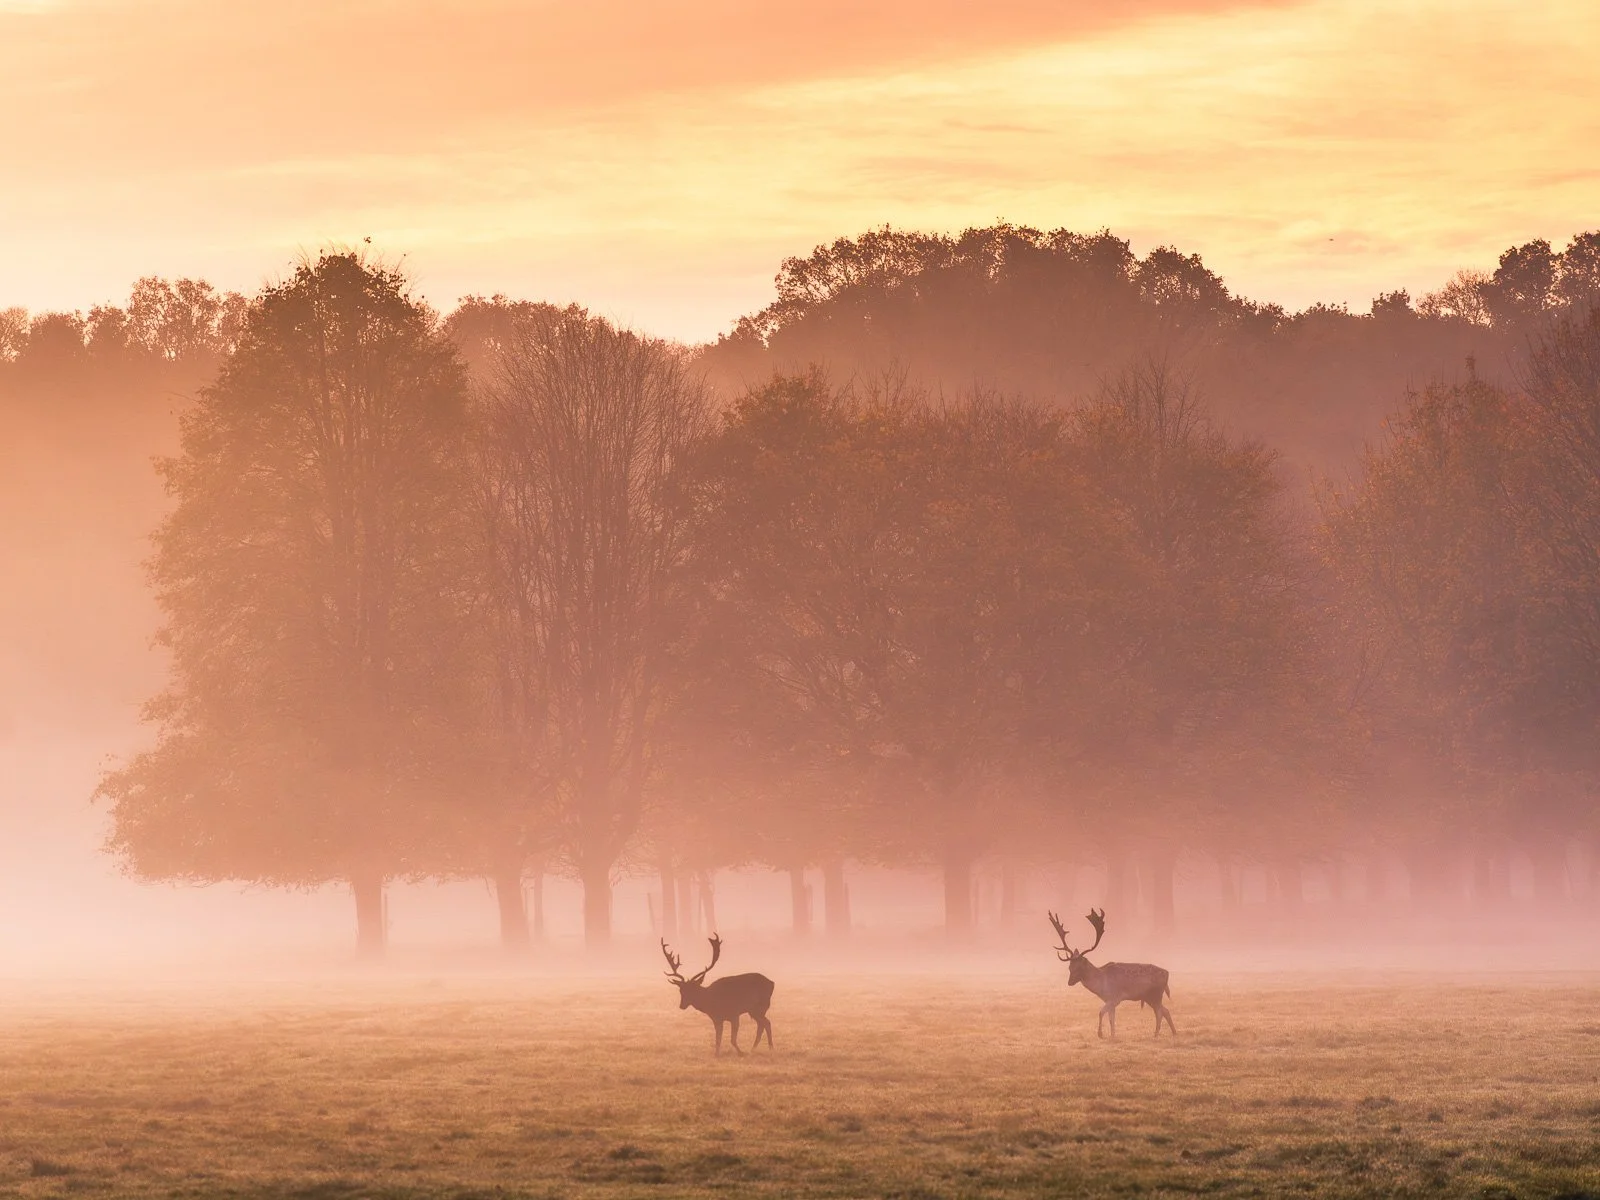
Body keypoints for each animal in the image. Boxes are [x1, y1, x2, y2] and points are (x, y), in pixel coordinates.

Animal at [1048, 908, 1174, 1039]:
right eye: (1069, 967)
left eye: (1079, 967)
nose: (1070, 982)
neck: (1101, 984)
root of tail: (1167, 973)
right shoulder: (1109, 1000)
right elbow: (1111, 1018)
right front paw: (1113, 1035)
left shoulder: (1115, 998)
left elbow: (1101, 1012)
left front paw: (1100, 1034)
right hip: (1149, 997)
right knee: (1165, 1010)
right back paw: (1173, 1032)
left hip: (1156, 994)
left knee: (1159, 1012)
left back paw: (1156, 1034)